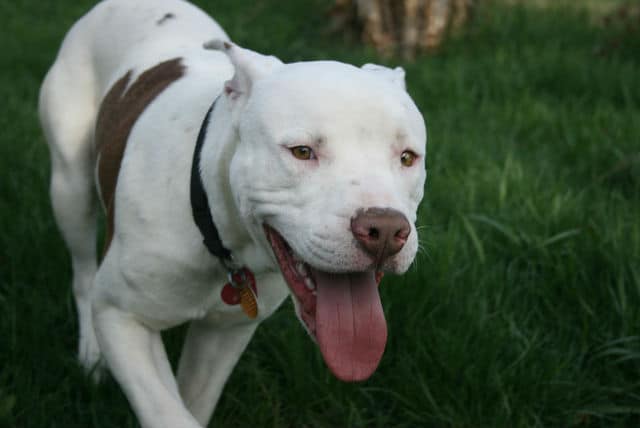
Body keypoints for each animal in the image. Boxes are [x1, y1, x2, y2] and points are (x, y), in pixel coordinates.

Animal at [41, 0, 424, 424]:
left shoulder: (225, 333)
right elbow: (168, 413)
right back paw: (91, 353)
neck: (215, 230)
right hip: (70, 186)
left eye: (408, 157)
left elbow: (193, 403)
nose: (385, 230)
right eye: (301, 151)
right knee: (82, 272)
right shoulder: (120, 316)